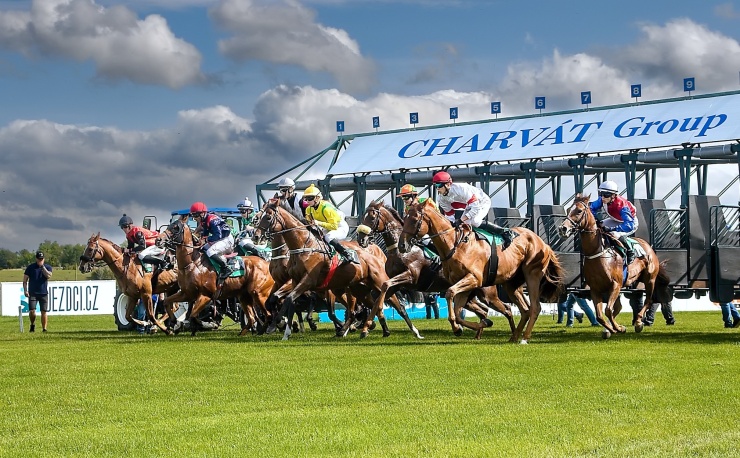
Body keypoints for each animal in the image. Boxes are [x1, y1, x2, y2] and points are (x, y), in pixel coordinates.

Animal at [253, 201, 423, 340]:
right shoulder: (294, 281)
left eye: (268, 217)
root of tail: (376, 252)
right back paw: (379, 330)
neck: (302, 246)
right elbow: (283, 301)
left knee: (396, 305)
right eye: (258, 217)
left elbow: (288, 300)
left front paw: (275, 325)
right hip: (358, 289)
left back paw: (414, 332)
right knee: (372, 305)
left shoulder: (307, 281)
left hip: (378, 282)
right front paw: (284, 329)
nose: (256, 236)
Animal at [358, 201, 518, 340]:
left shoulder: (410, 276)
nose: (361, 239)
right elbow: (382, 297)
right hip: (470, 296)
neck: (399, 252)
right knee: (483, 311)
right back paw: (479, 332)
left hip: (487, 294)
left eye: (372, 217)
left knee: (506, 309)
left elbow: (385, 288)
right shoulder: (397, 284)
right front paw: (366, 327)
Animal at [399, 198, 564, 344]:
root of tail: (543, 243)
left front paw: (467, 326)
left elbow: (450, 293)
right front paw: (468, 326)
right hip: (511, 283)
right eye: (404, 218)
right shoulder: (464, 284)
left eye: (414, 219)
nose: (402, 245)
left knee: (535, 307)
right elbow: (458, 312)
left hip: (532, 275)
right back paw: (514, 337)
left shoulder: (473, 278)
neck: (455, 244)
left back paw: (524, 338)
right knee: (524, 309)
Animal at [558, 194, 672, 337]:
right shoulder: (596, 289)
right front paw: (612, 328)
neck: (597, 252)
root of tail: (648, 246)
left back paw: (638, 322)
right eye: (568, 210)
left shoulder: (615, 284)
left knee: (648, 300)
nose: (563, 229)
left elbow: (607, 310)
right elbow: (600, 315)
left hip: (649, 279)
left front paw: (617, 328)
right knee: (618, 307)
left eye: (579, 211)